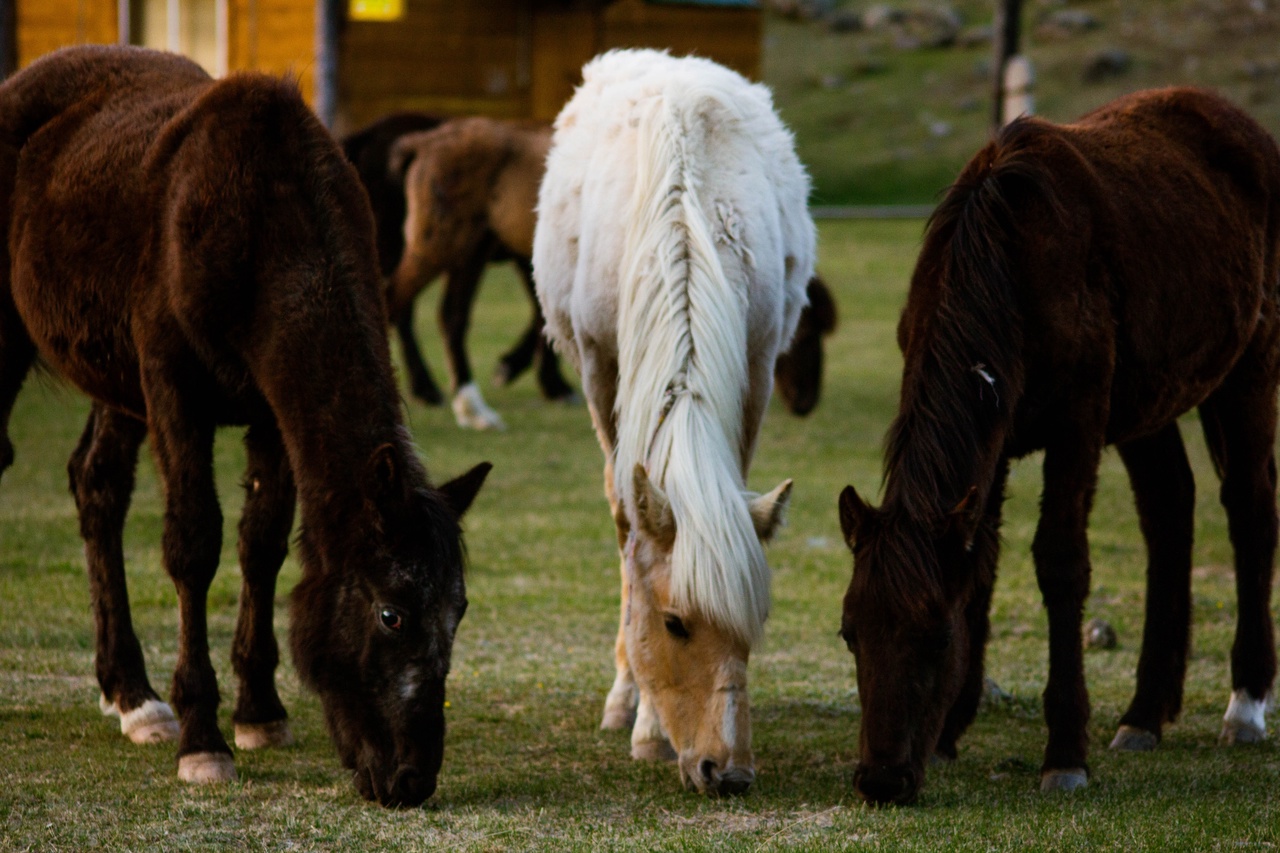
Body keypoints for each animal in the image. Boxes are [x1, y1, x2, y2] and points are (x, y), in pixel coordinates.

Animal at [0, 44, 488, 804]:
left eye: (459, 612)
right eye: (391, 613)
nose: (411, 778)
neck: (260, 226)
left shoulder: (270, 410)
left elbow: (262, 543)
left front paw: (259, 708)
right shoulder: (174, 390)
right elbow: (194, 545)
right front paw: (205, 739)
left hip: (117, 383)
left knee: (97, 487)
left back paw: (131, 693)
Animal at [532, 49, 814, 794]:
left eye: (755, 622)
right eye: (673, 622)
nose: (728, 771)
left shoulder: (757, 363)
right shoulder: (600, 364)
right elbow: (627, 521)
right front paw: (642, 722)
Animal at [834, 87, 1280, 804]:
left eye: (935, 635)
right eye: (850, 632)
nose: (881, 777)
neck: (1007, 265)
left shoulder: (1078, 422)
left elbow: (1061, 562)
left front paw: (1066, 750)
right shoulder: (994, 442)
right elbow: (982, 566)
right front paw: (953, 727)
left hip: (1249, 365)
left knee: (1250, 508)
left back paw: (1246, 704)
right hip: (1149, 403)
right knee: (1170, 509)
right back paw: (1145, 712)